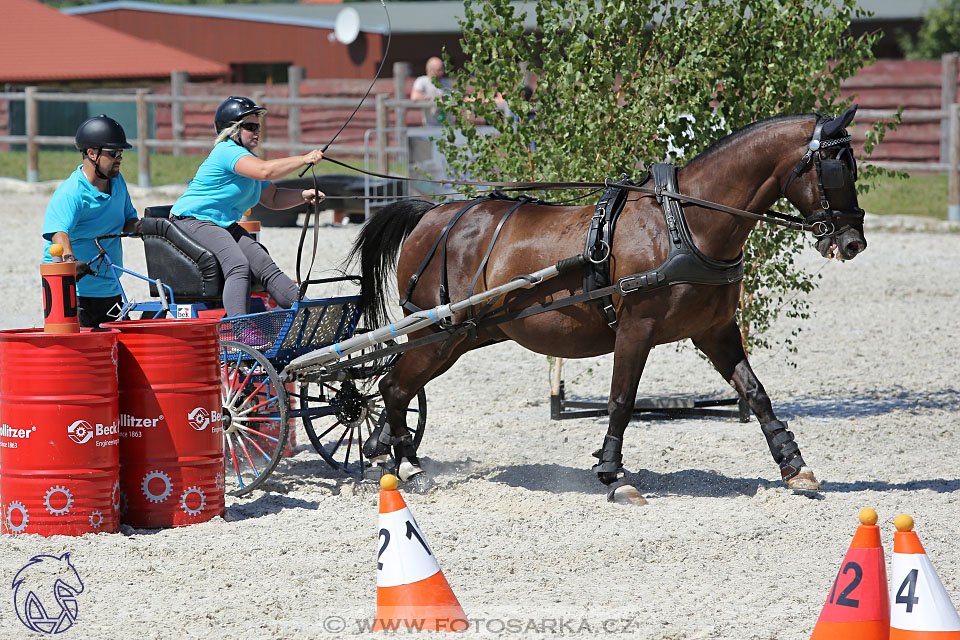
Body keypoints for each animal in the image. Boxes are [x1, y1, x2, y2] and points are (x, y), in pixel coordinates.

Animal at [348, 106, 868, 496]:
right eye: (838, 167)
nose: (853, 242)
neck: (683, 224)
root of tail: (432, 214)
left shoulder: (714, 330)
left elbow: (755, 392)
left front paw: (794, 465)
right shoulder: (637, 328)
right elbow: (621, 399)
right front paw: (612, 471)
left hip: (463, 336)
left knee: (397, 386)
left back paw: (388, 453)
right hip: (437, 332)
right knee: (393, 385)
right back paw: (403, 465)